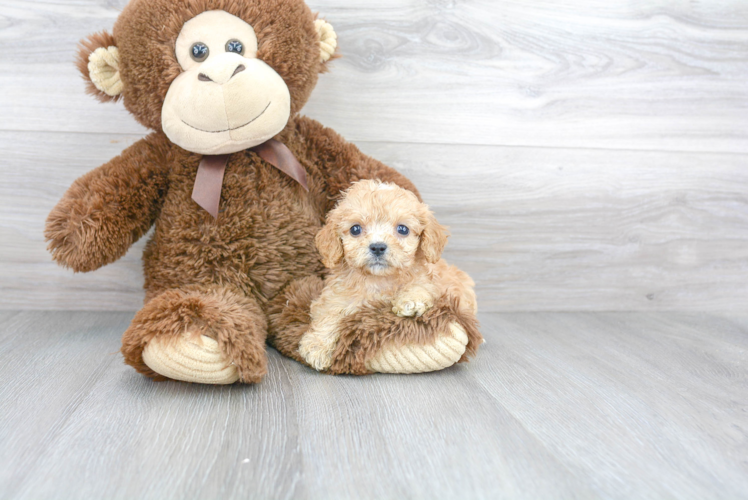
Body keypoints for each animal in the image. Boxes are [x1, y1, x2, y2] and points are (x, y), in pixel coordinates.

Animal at [300, 180, 480, 372]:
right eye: (355, 229)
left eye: (402, 229)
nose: (378, 247)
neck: (379, 280)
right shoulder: (335, 295)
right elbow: (329, 313)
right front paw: (317, 346)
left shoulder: (429, 280)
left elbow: (420, 285)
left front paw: (411, 301)